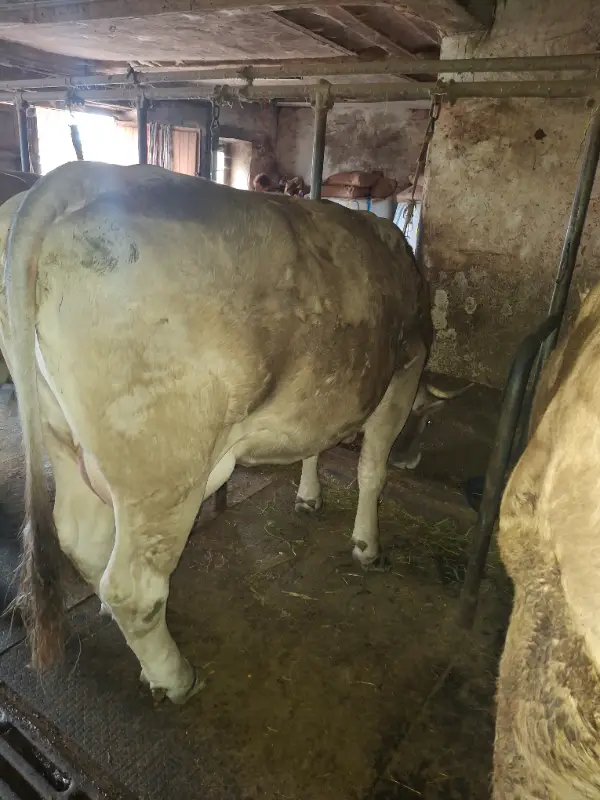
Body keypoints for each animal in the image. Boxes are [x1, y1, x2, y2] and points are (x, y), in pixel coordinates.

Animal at [1, 160, 438, 705]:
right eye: (425, 419)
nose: (415, 458)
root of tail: (75, 176)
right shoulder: (404, 370)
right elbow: (372, 472)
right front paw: (368, 546)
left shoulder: (324, 396)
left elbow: (314, 446)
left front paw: (309, 496)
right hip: (165, 471)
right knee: (134, 588)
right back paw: (175, 677)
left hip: (63, 437)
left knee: (82, 537)